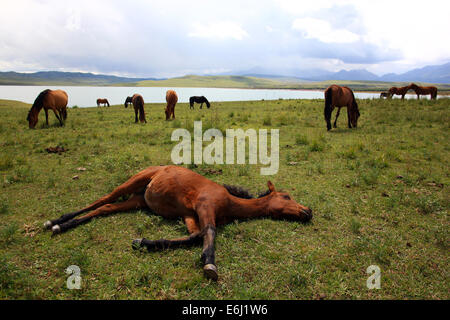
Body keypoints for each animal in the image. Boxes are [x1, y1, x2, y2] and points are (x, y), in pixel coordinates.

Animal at [44, 165, 312, 280]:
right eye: (286, 197)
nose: (308, 211)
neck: (229, 201)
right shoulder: (204, 207)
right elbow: (209, 232)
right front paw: (210, 264)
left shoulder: (189, 215)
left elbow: (194, 236)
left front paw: (144, 242)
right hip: (132, 183)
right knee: (102, 200)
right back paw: (56, 222)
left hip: (137, 200)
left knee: (105, 207)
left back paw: (63, 225)